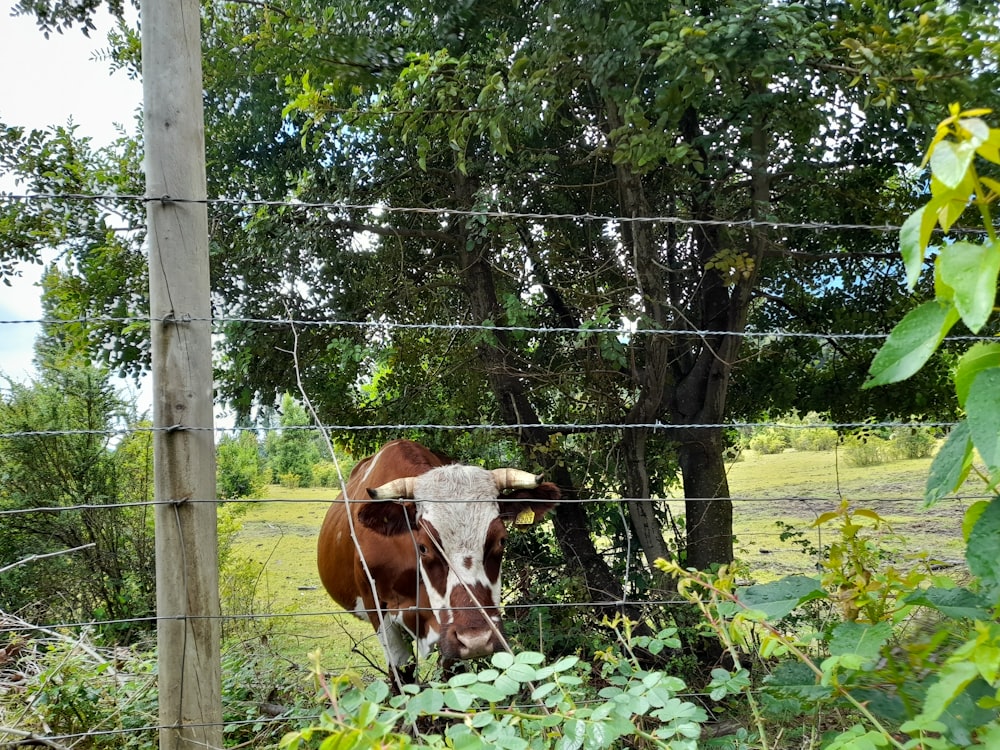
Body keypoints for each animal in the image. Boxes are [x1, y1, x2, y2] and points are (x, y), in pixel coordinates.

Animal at [316, 438, 560, 692]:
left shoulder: (448, 637)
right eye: (423, 547)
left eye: (502, 540)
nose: (477, 640)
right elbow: (401, 676)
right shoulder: (377, 609)